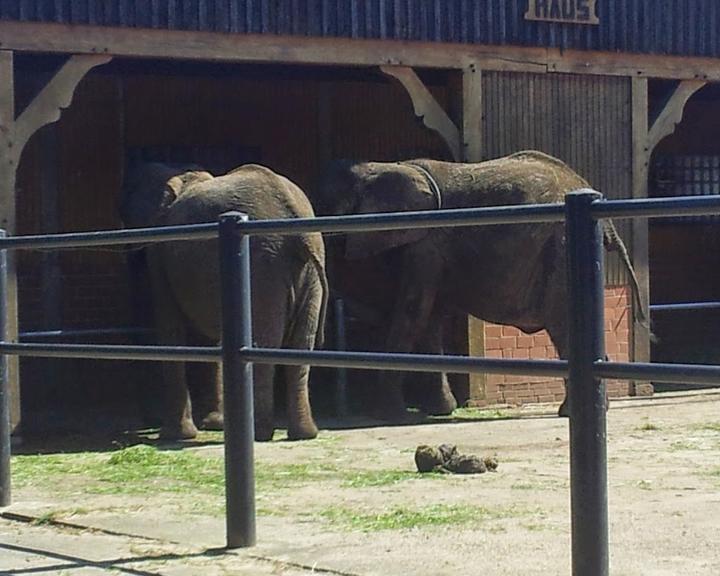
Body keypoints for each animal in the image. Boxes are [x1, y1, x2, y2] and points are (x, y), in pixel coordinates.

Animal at [121, 162, 330, 440]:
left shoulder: (161, 250)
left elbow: (170, 328)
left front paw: (176, 435)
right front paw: (214, 424)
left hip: (262, 265)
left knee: (263, 343)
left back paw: (259, 432)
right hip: (308, 271)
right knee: (301, 346)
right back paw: (304, 434)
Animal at [318, 151, 644, 416]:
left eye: (329, 209)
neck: (383, 166)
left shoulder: (426, 245)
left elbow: (412, 314)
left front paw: (384, 412)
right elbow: (429, 321)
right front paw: (440, 410)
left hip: (561, 249)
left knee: (564, 323)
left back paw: (572, 412)